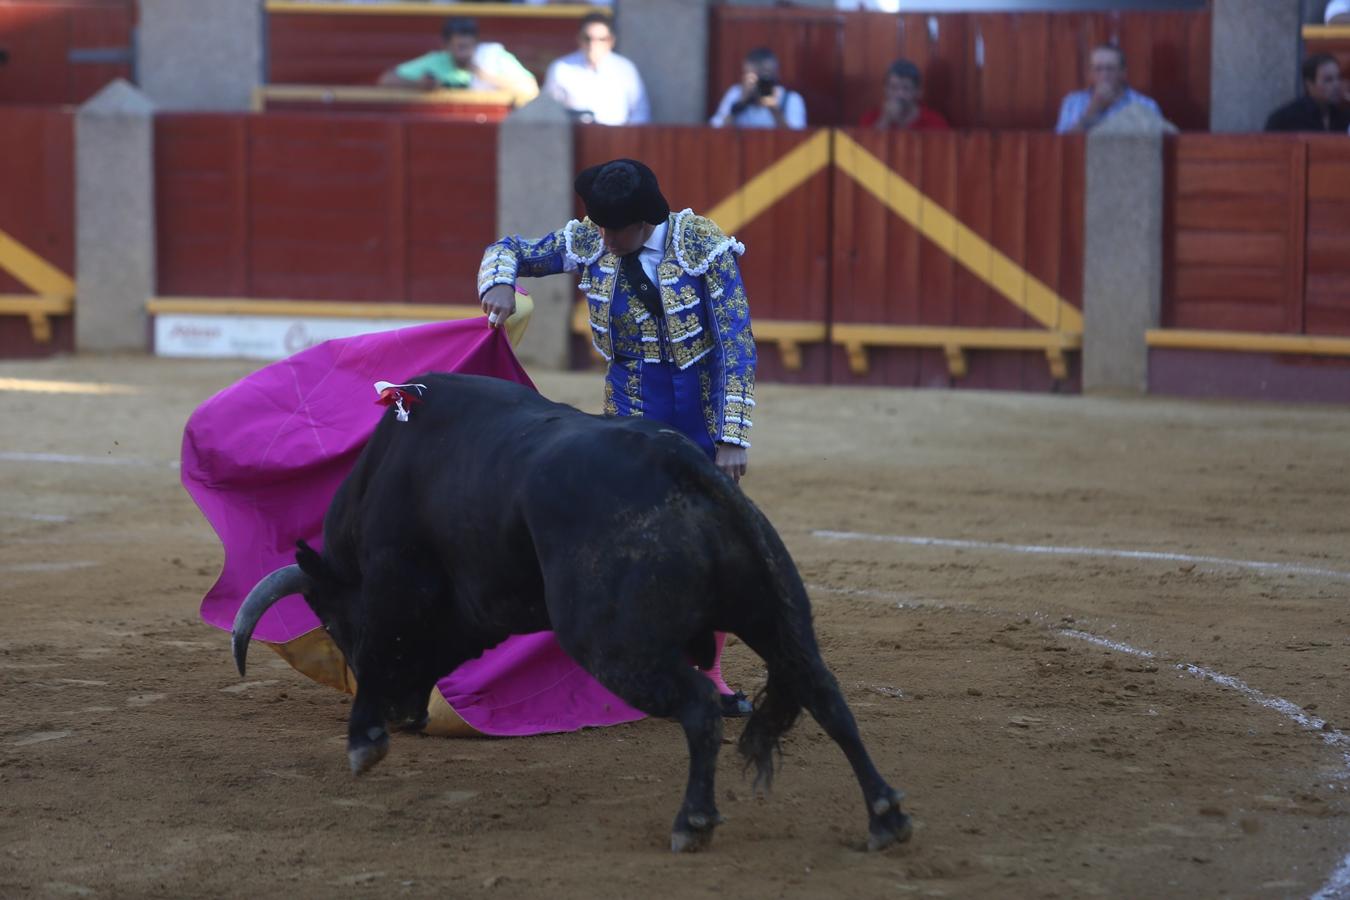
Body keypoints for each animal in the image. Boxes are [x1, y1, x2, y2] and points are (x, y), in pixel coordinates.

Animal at [232, 372, 912, 852]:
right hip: (776, 615)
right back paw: (885, 817)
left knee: (698, 706)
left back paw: (693, 821)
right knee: (823, 690)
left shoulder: (393, 580)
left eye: (336, 624)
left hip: (610, 643)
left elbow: (382, 647)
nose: (404, 717)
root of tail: (682, 464)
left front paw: (363, 742)